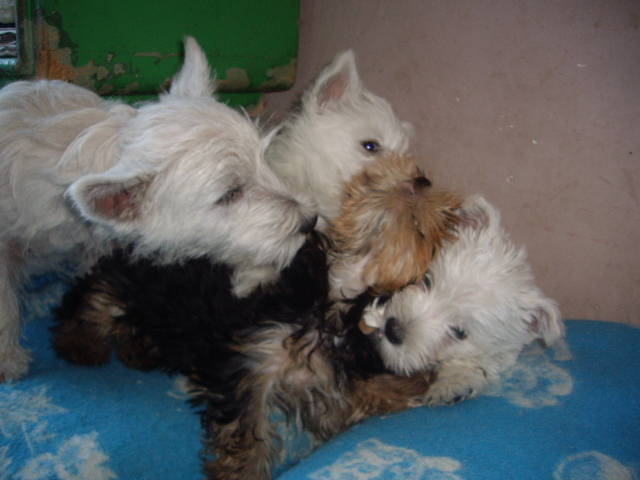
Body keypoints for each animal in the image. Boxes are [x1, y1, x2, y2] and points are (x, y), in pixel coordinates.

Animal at [0, 36, 312, 382]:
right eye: (229, 194)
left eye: (263, 159)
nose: (310, 221)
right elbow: (5, 301)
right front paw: (9, 359)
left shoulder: (96, 249)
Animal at [50, 155, 460, 480]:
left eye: (438, 224)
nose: (422, 180)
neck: (332, 292)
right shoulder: (250, 359)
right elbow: (244, 428)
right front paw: (242, 472)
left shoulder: (329, 372)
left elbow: (357, 393)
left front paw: (419, 384)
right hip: (140, 278)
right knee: (97, 297)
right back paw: (80, 343)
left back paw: (138, 352)